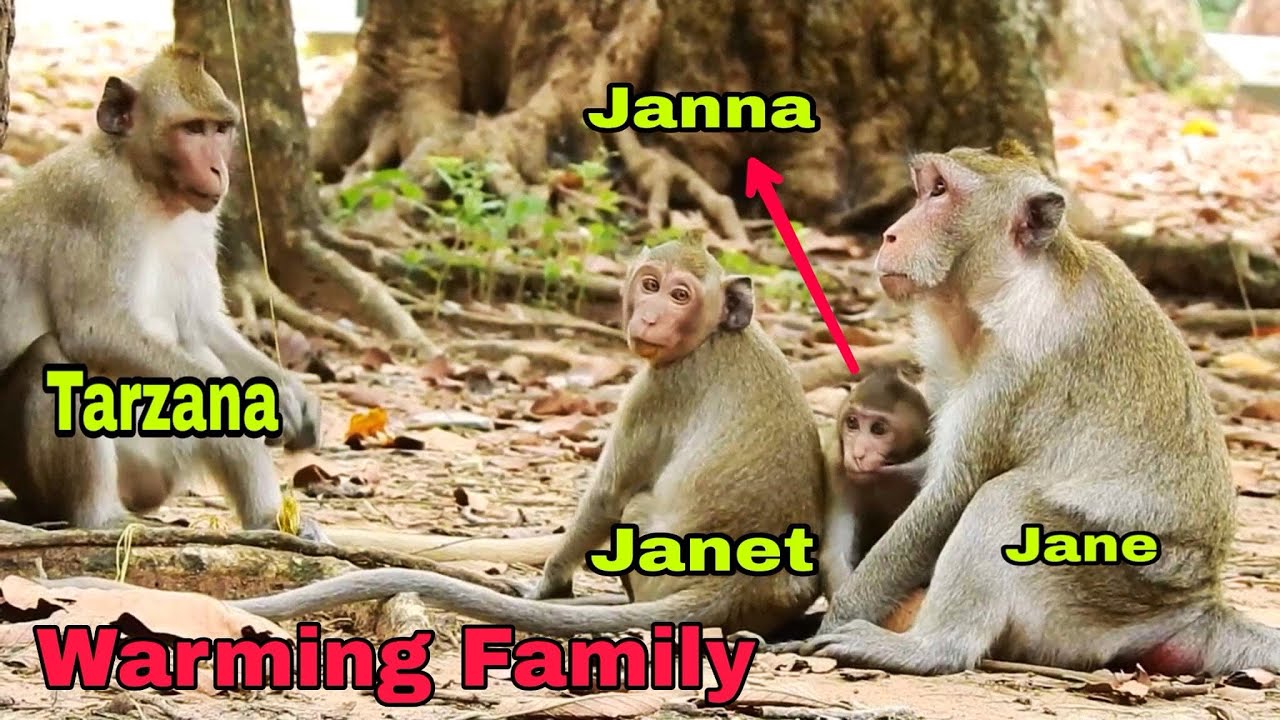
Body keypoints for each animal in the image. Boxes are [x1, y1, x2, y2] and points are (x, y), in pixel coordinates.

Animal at [0, 46, 326, 541]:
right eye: (191, 130)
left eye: (219, 129)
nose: (218, 169)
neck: (145, 184)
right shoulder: (95, 204)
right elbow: (96, 331)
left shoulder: (201, 218)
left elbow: (201, 323)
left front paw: (289, 393)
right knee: (50, 355)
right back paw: (100, 517)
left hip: (161, 462)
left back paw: (267, 518)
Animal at [167, 237, 828, 637]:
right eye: (650, 283)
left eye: (680, 294)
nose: (650, 316)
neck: (717, 334)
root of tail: (734, 586)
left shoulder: (660, 387)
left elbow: (607, 497)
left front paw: (548, 584)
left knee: (635, 506)